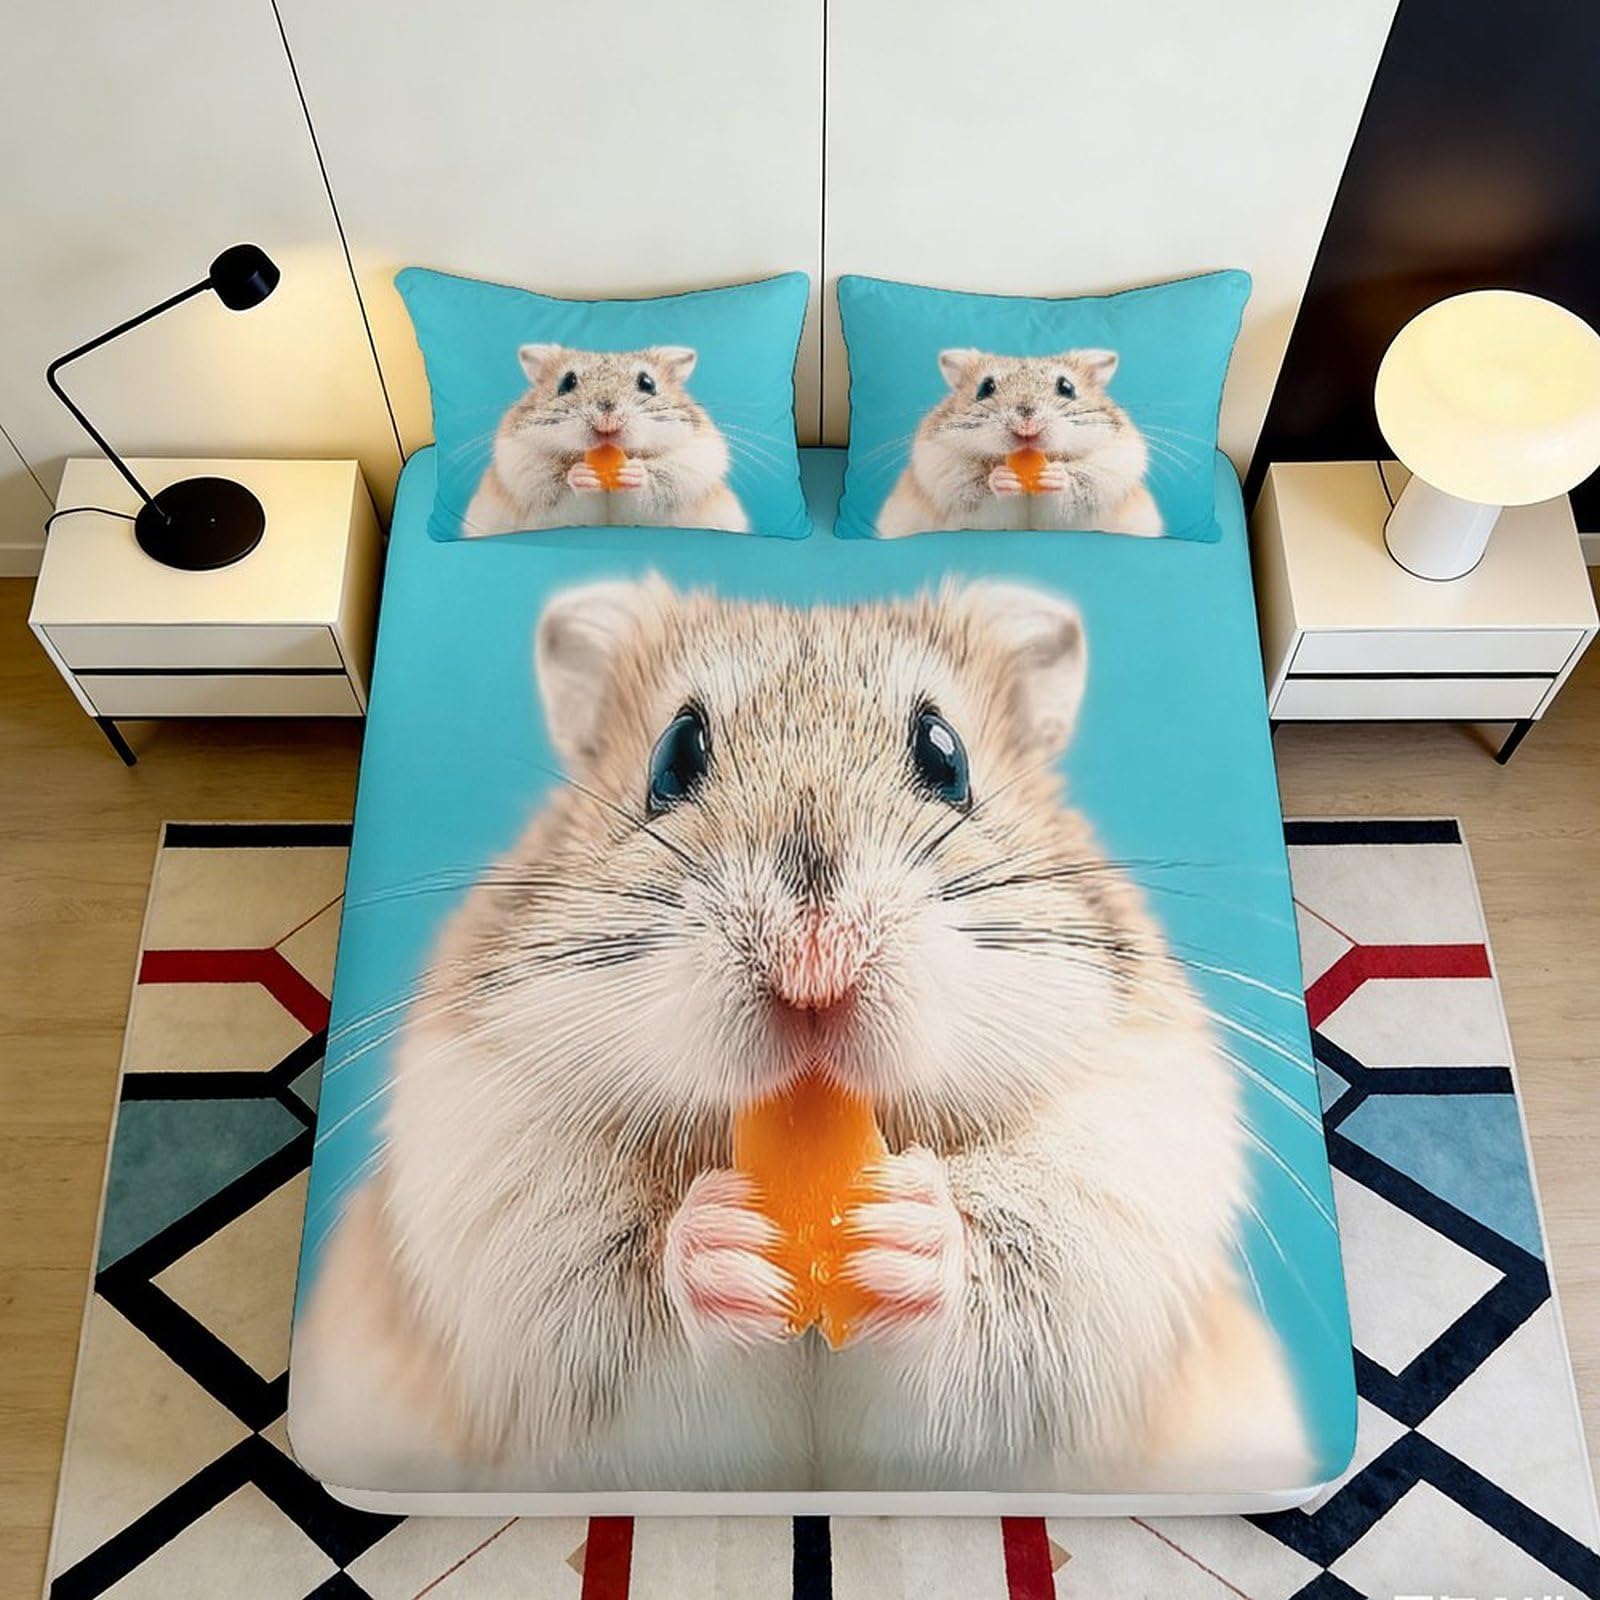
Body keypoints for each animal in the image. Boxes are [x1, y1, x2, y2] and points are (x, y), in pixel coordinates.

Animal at [292, 577, 1308, 1495]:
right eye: (674, 756)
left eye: (945, 757)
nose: (814, 964)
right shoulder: (506, 1225)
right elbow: (637, 1294)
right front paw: (725, 1235)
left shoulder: (1112, 1199)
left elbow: (996, 1284)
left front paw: (894, 1225)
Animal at [463, 345, 748, 536]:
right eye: (567, 382)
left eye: (647, 383)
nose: (606, 424)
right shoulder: (522, 467)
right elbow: (556, 479)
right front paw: (581, 473)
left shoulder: (693, 463)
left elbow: (660, 478)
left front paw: (633, 472)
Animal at [877, 349, 1163, 539]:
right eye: (985, 388)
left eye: (1067, 387)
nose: (1027, 429)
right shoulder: (941, 467)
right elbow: (975, 482)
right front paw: (1002, 477)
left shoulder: (1114, 463)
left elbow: (1082, 479)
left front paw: (1054, 475)